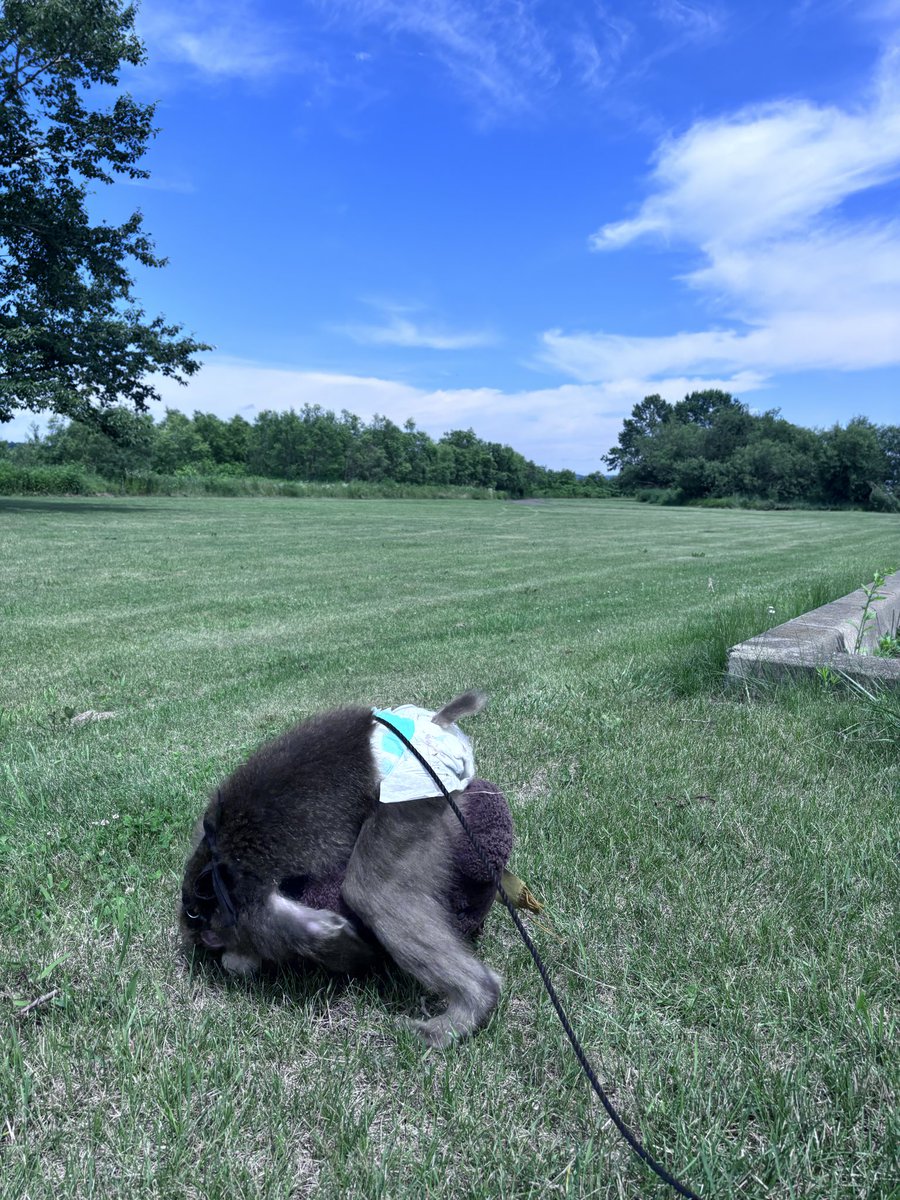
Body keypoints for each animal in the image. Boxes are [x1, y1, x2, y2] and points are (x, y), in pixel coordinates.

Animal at [180, 691, 508, 1046]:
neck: (213, 865)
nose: (211, 946)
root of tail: (433, 724)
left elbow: (319, 935)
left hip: (408, 799)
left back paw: (472, 1004)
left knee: (374, 893)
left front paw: (349, 950)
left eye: (214, 941)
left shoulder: (250, 912)